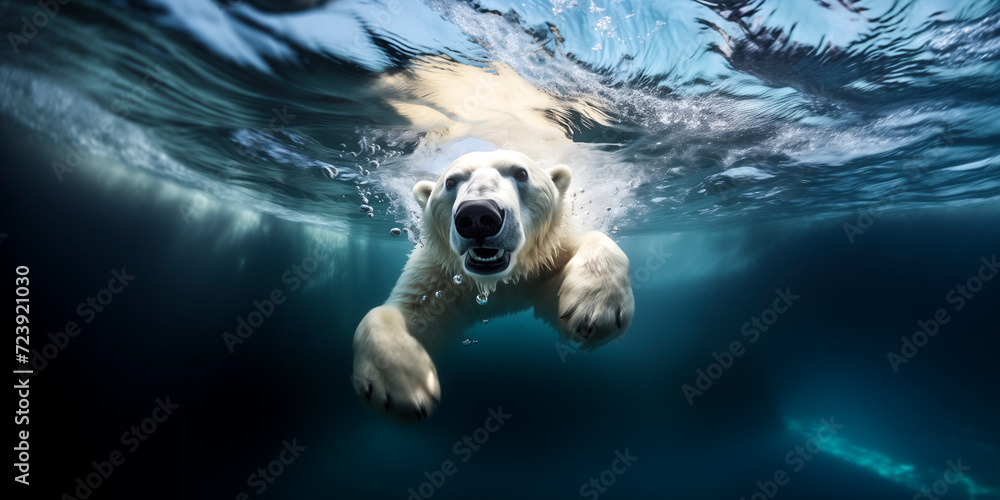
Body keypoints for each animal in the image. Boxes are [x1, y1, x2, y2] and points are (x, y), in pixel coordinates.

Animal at [351, 150, 634, 420]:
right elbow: (407, 311)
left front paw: (595, 310)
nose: (477, 214)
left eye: (521, 173)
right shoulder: (440, 275)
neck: (498, 280)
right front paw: (404, 387)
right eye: (450, 181)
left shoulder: (547, 257)